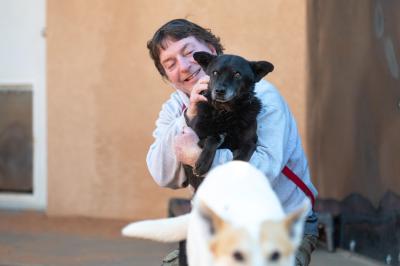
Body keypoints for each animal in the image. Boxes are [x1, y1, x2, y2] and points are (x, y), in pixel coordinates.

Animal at [183, 52, 274, 189]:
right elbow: (213, 138)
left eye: (237, 74)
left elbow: (240, 158)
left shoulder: (250, 143)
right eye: (215, 72)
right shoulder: (196, 137)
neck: (225, 113)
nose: (219, 91)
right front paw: (202, 163)